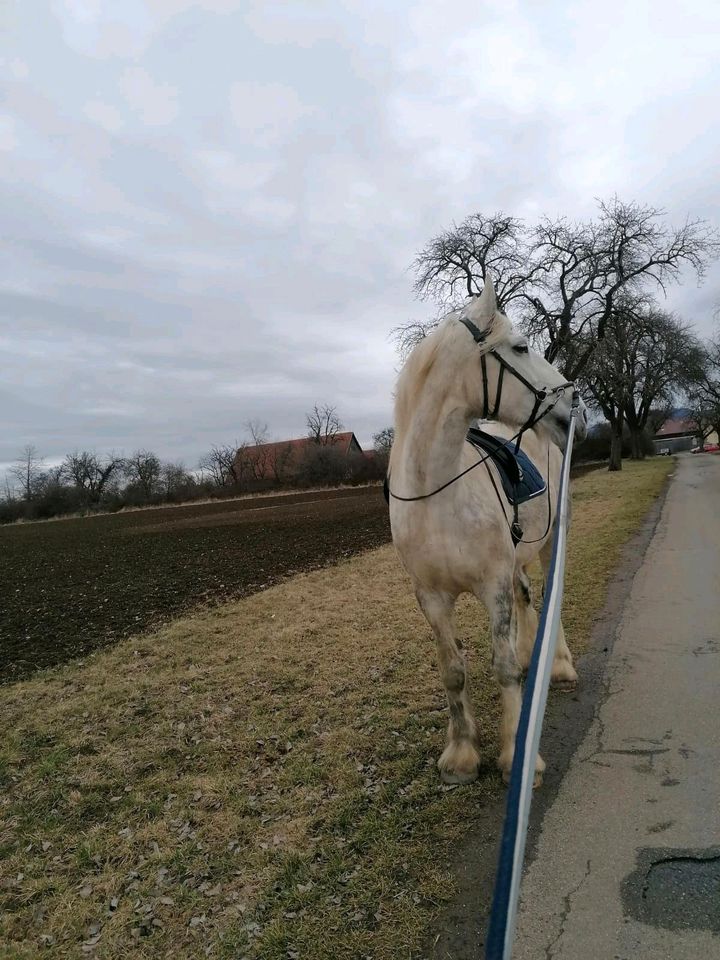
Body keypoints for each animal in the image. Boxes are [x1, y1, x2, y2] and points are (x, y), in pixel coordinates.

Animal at [388, 278, 584, 788]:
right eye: (520, 347)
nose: (573, 403)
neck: (437, 492)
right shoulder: (432, 598)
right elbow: (454, 671)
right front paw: (461, 754)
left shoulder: (490, 584)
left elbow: (503, 668)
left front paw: (517, 754)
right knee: (526, 599)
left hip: (551, 542)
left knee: (547, 603)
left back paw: (558, 665)